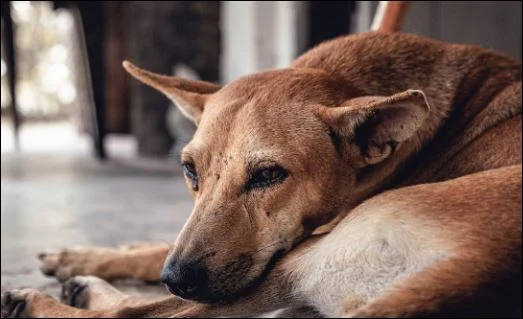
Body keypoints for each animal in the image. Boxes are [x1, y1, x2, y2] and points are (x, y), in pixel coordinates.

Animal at [2, 31, 520, 318]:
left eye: (269, 174)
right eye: (189, 170)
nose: (177, 278)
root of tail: (478, 275)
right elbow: (152, 249)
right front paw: (86, 254)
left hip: (299, 258)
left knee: (133, 315)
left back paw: (46, 299)